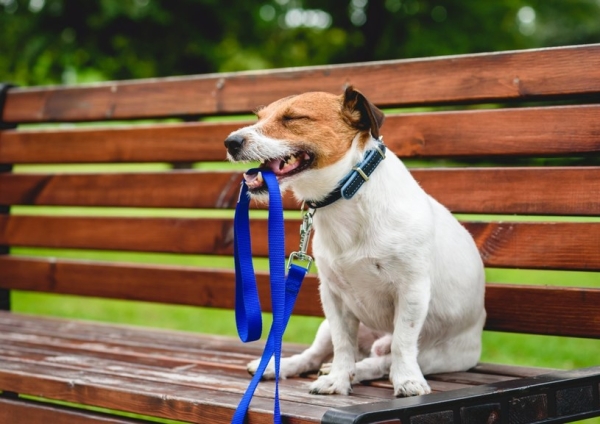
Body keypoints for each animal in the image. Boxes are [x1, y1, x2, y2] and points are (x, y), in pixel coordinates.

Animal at [225, 87, 488, 398]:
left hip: (437, 355)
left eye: (294, 118)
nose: (230, 142)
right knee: (319, 354)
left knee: (384, 360)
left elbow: (402, 344)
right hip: (326, 327)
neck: (349, 194)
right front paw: (337, 380)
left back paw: (366, 369)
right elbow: (343, 345)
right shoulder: (333, 297)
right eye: (259, 117)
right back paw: (290, 367)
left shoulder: (412, 291)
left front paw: (407, 381)